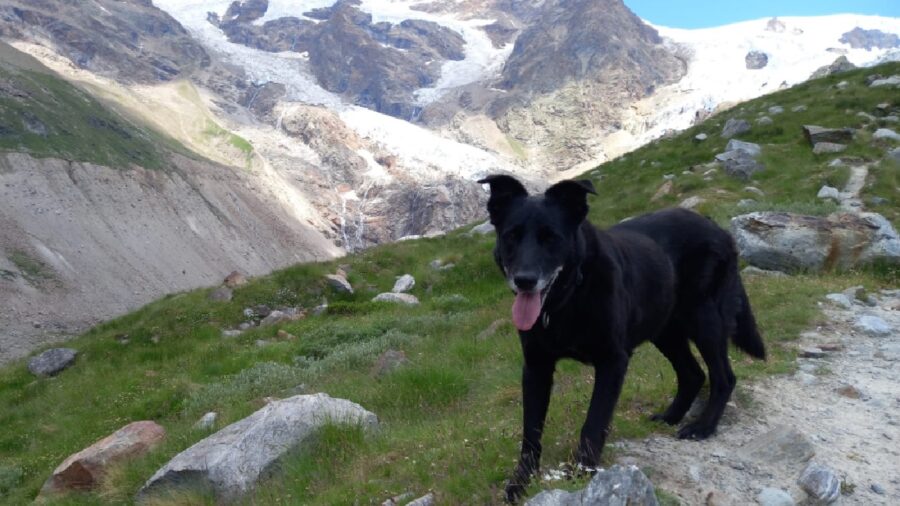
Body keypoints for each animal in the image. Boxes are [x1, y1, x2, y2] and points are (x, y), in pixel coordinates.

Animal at [478, 176, 768, 500]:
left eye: (551, 238)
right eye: (511, 236)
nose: (525, 280)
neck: (568, 298)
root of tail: (717, 228)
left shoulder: (612, 361)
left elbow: (594, 422)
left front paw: (583, 473)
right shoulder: (536, 367)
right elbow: (531, 431)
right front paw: (521, 483)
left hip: (704, 318)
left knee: (723, 376)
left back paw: (703, 426)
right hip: (664, 329)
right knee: (693, 373)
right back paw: (671, 416)